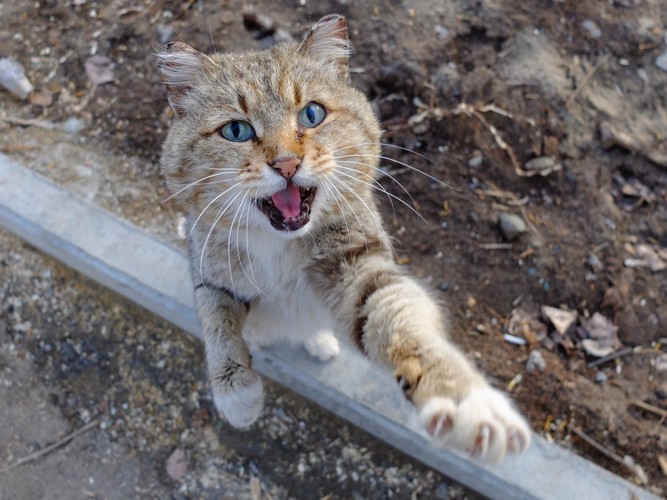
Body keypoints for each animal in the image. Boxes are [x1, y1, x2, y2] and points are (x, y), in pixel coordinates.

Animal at [159, 13, 528, 462]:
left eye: (312, 114)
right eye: (236, 130)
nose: (287, 164)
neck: (280, 243)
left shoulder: (357, 263)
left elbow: (399, 319)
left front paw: (464, 402)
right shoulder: (209, 272)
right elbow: (218, 327)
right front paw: (236, 393)